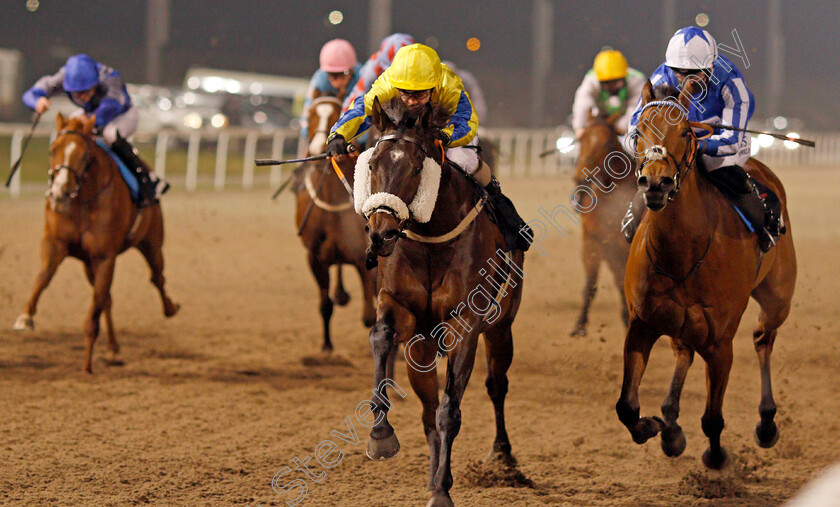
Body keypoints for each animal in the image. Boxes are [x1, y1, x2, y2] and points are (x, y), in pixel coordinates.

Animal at [12, 114, 180, 374]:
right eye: (52, 150)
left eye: (85, 156)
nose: (60, 193)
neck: (83, 201)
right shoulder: (56, 243)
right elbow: (43, 277)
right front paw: (25, 317)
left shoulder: (104, 256)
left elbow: (93, 312)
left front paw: (87, 366)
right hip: (88, 264)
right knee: (107, 299)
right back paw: (113, 349)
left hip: (151, 242)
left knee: (157, 277)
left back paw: (170, 308)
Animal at [296, 95, 374, 352]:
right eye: (311, 115)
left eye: (336, 113)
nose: (319, 148)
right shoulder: (314, 257)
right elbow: (325, 305)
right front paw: (327, 346)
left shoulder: (363, 258)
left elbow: (370, 316)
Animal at [360, 96, 524, 507]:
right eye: (371, 163)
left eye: (417, 167)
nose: (382, 232)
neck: (431, 240)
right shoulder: (398, 306)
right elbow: (380, 337)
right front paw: (381, 437)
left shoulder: (465, 324)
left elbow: (451, 410)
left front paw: (443, 491)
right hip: (421, 347)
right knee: (427, 408)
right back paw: (434, 472)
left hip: (501, 327)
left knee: (496, 385)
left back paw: (501, 455)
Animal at [572, 113, 636, 340]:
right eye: (582, 139)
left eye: (608, 143)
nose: (581, 178)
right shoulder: (593, 241)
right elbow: (591, 285)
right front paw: (579, 326)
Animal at [612, 81, 796, 470]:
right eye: (638, 131)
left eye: (685, 131)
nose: (656, 183)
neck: (684, 254)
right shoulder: (642, 324)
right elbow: (626, 406)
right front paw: (656, 426)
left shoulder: (720, 342)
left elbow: (712, 417)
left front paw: (715, 454)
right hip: (680, 325)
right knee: (684, 352)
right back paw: (670, 422)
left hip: (778, 299)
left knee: (763, 338)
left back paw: (767, 423)